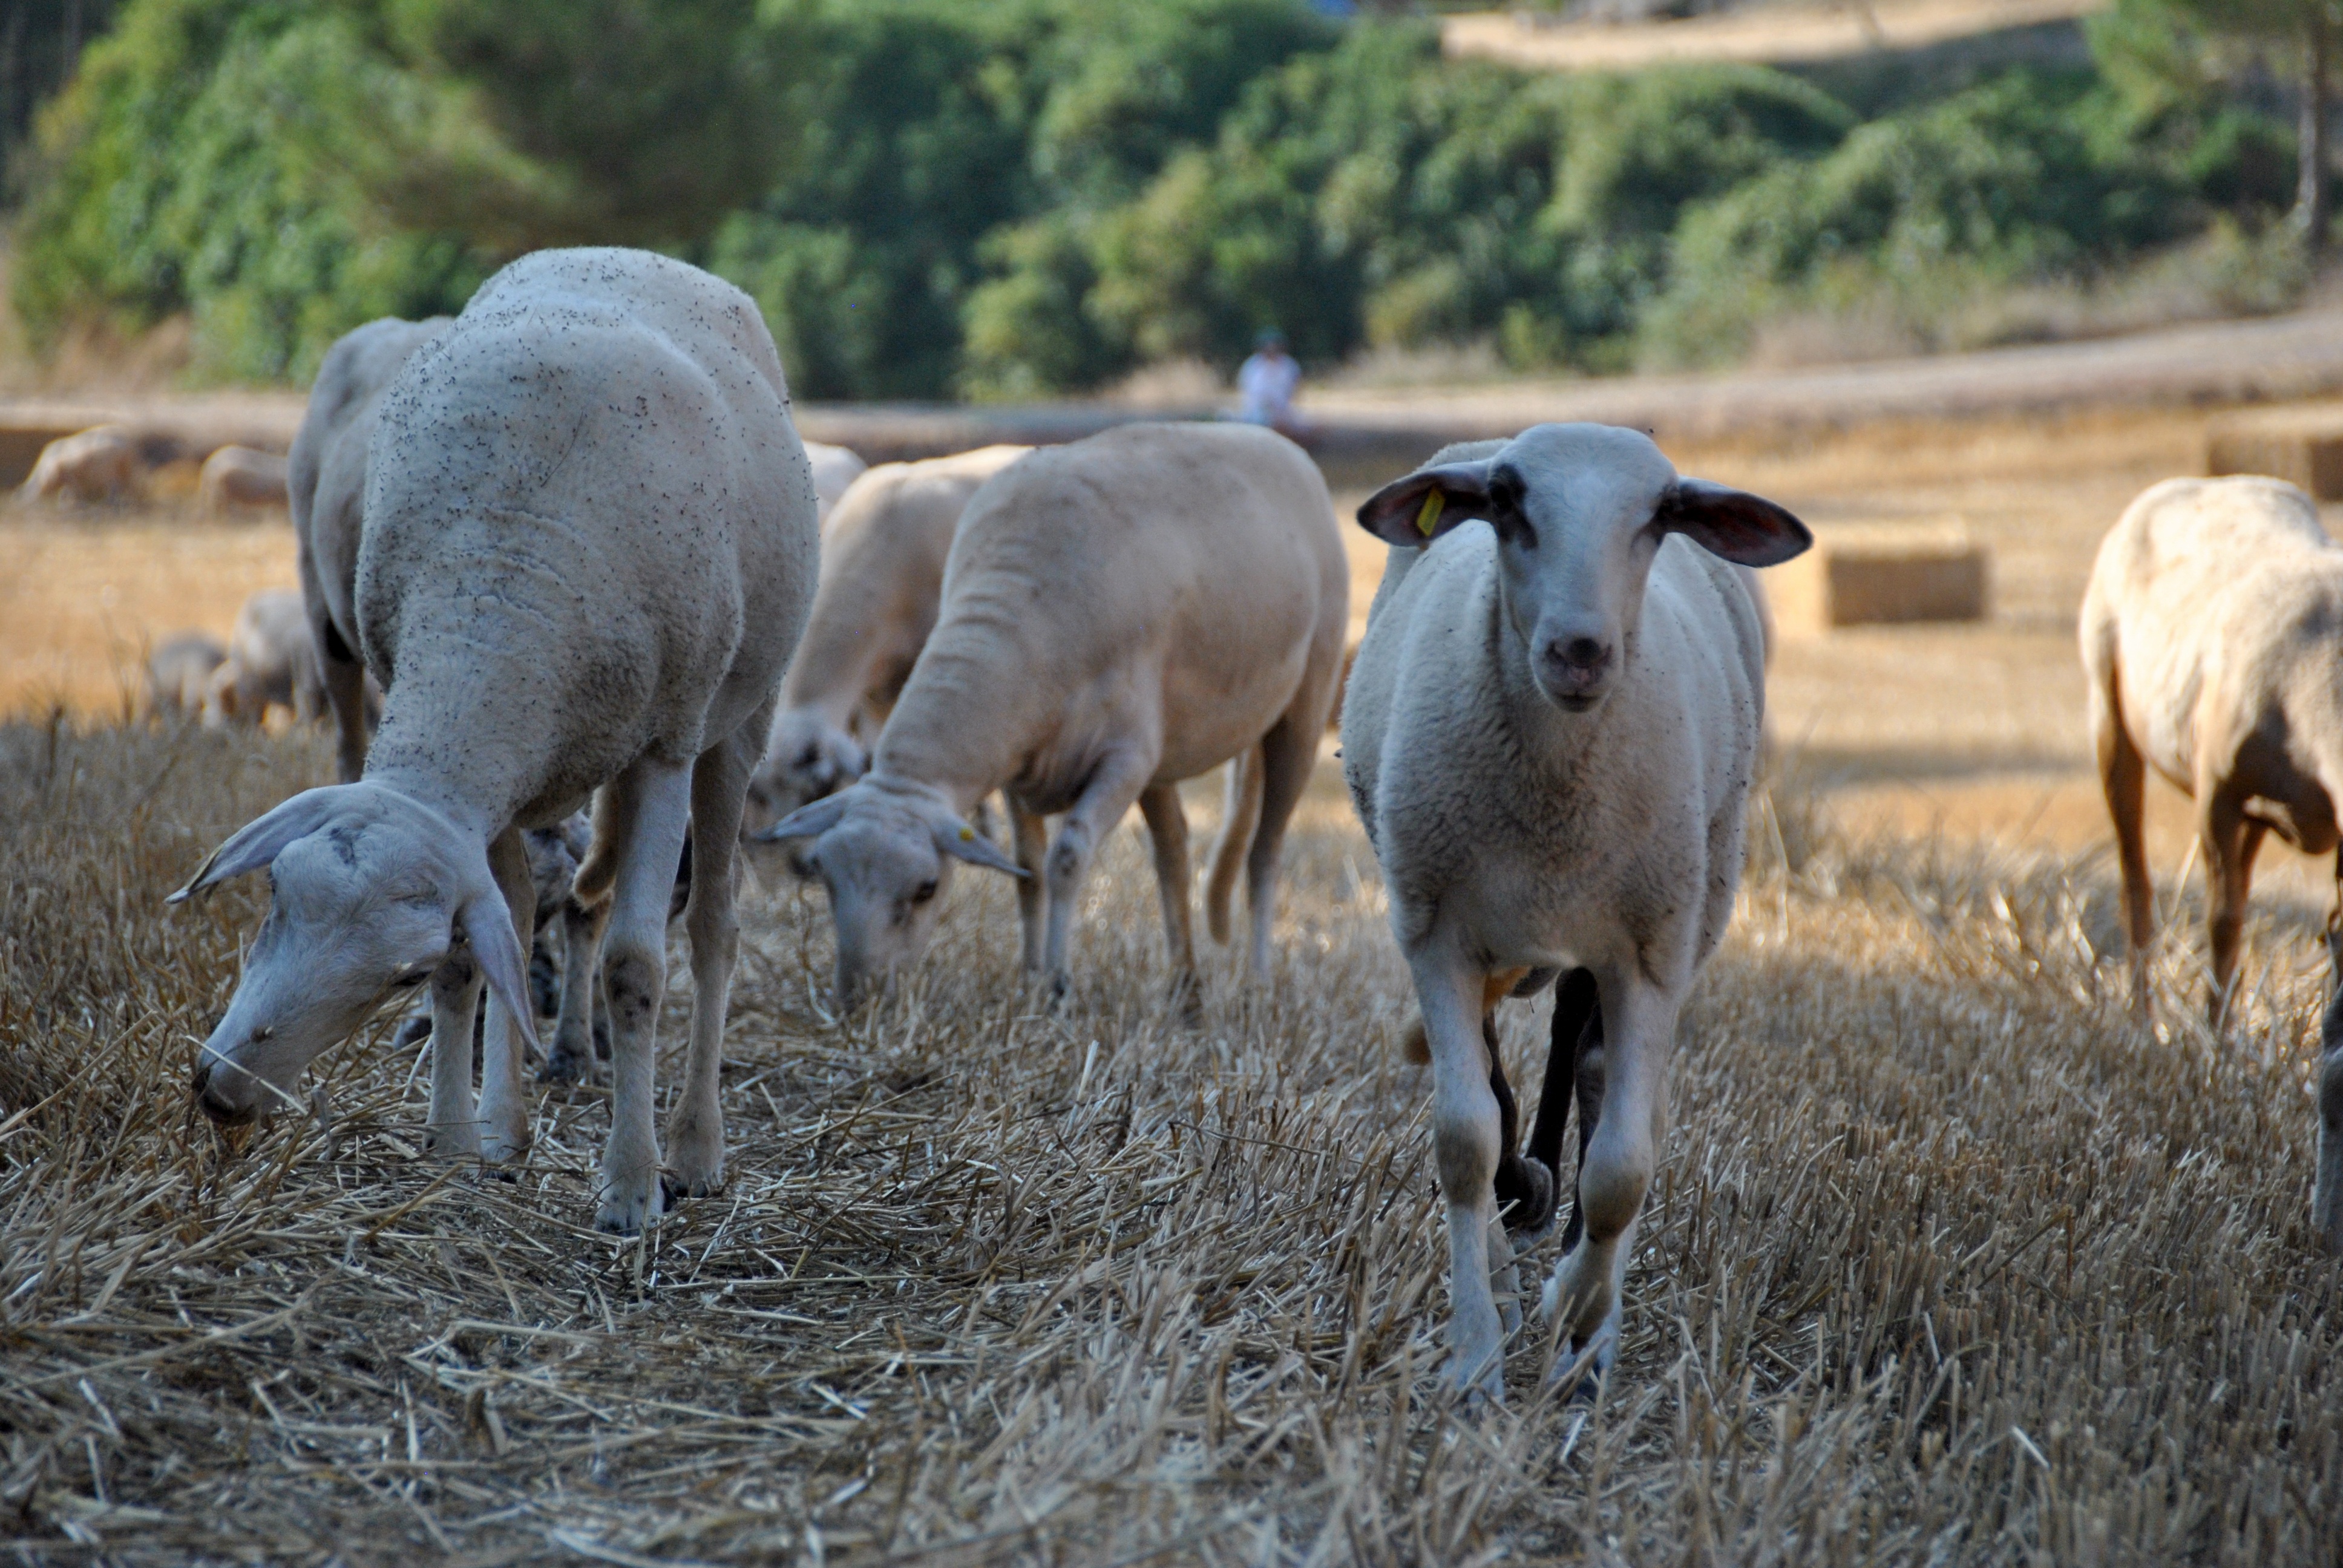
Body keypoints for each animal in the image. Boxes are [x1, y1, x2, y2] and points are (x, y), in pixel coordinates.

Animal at [1342, 423, 1809, 1402]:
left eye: (1663, 513)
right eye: (1505, 502)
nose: (1579, 650)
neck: (1554, 796)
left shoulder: (1652, 954)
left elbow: (1623, 1169)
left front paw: (1578, 1325)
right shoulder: (1438, 936)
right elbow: (1464, 1140)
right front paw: (1477, 1351)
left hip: (1664, 911)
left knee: (1596, 1078)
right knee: (1514, 1082)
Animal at [2081, 474, 2343, 1250]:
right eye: (2329, 1104)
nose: (2325, 1233)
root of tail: (2200, 481)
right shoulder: (2216, 787)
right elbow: (2221, 920)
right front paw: (2214, 1047)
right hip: (2108, 701)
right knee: (2136, 878)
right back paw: (2144, 1021)